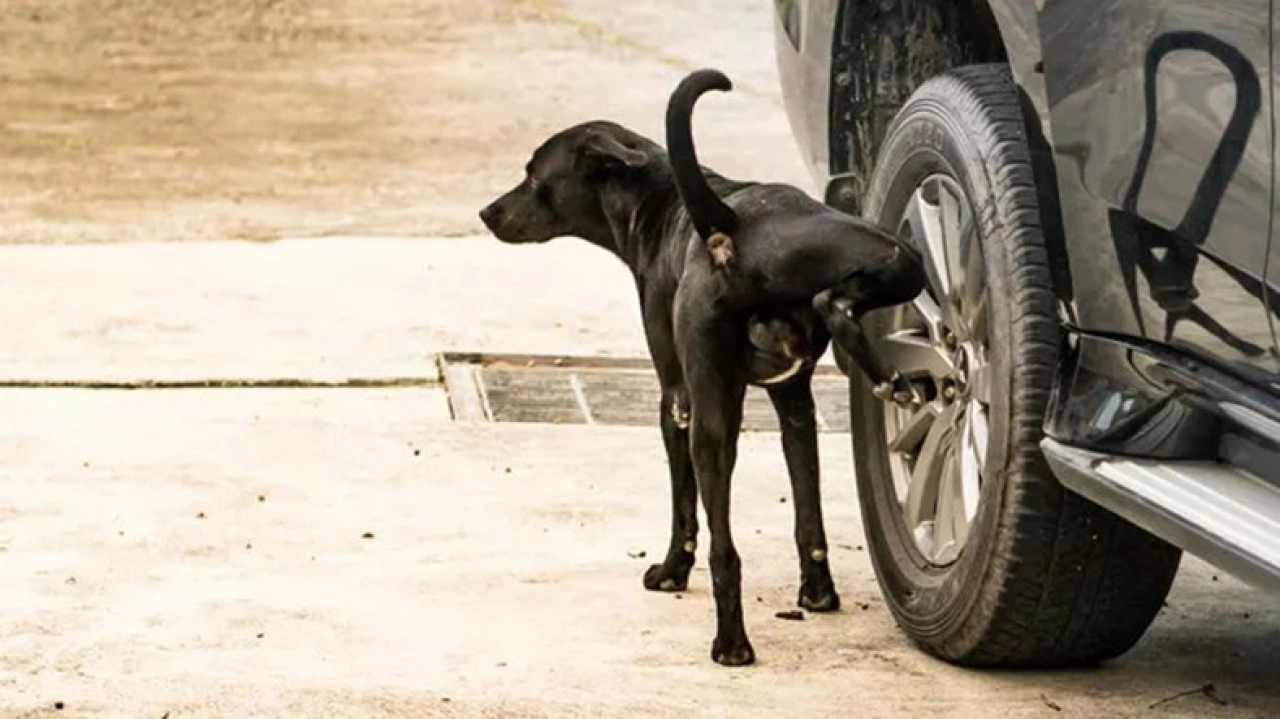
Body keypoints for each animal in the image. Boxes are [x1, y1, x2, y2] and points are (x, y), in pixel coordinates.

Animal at [481, 70, 921, 665]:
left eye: (533, 176)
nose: (486, 212)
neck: (660, 199)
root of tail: (729, 221)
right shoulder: (794, 403)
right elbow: (808, 514)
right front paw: (816, 590)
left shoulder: (676, 400)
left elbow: (684, 508)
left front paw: (671, 570)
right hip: (887, 257)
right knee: (841, 302)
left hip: (712, 416)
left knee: (724, 551)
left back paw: (730, 643)